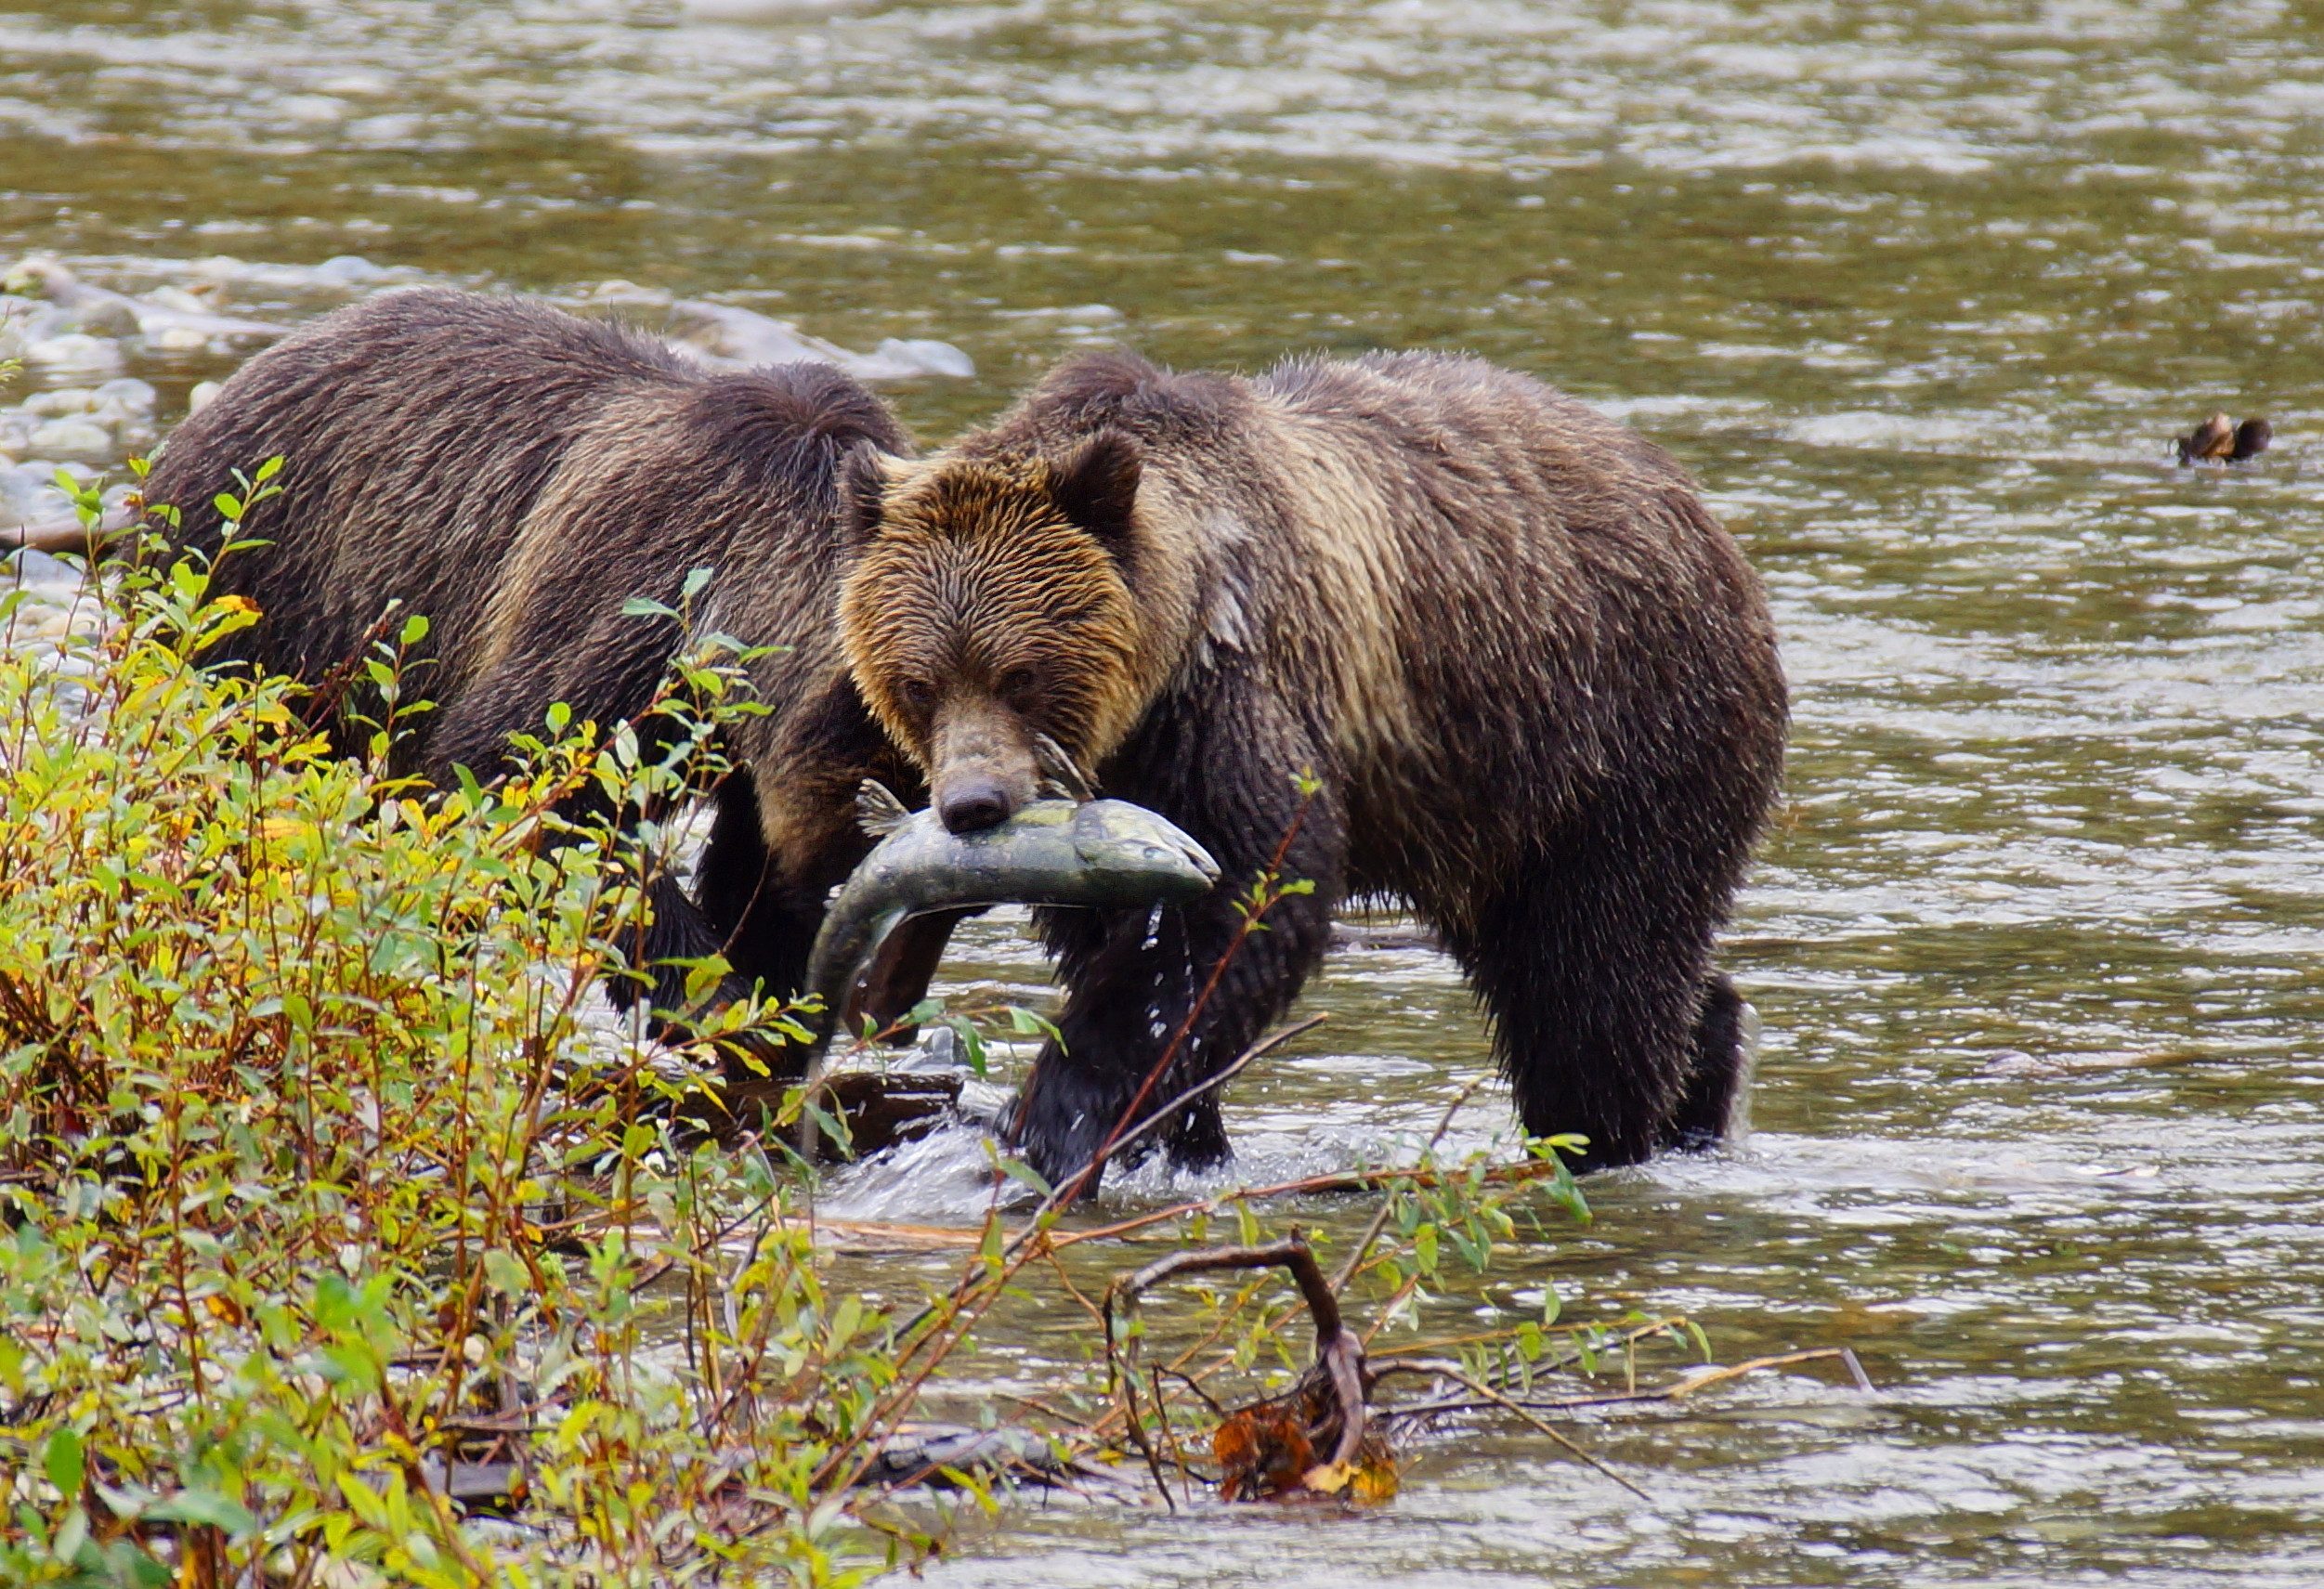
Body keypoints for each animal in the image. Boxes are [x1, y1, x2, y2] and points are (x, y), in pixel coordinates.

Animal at [142, 287, 925, 1027]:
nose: (891, 999)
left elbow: (744, 863)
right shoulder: (635, 600)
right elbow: (525, 775)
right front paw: (709, 992)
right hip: (257, 604)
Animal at [833, 348, 1788, 1189]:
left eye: (1021, 674)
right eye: (918, 681)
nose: (974, 804)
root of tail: (1704, 517)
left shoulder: (1235, 695)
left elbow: (1245, 896)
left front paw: (1056, 1120)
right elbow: (1110, 935)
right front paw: (1182, 1135)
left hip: (1617, 735)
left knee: (1597, 976)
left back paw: (1607, 1134)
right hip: (1487, 807)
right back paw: (1708, 1068)